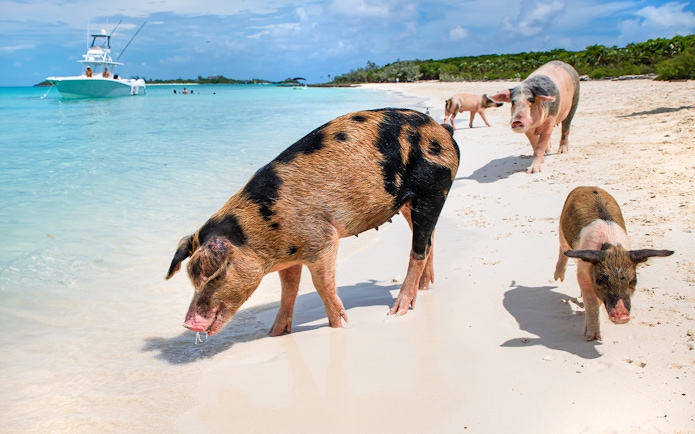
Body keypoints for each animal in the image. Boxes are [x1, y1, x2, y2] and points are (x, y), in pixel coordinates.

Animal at [166, 108, 460, 337]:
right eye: (192, 278)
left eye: (216, 274)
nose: (188, 323)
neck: (263, 233)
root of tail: (442, 130)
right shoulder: (290, 257)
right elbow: (288, 289)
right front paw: (274, 333)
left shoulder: (322, 241)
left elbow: (321, 285)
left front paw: (338, 325)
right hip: (411, 203)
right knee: (429, 239)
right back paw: (424, 287)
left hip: (433, 188)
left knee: (418, 250)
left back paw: (398, 310)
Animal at [553, 186, 674, 341]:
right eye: (600, 280)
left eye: (633, 281)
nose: (622, 316)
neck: (613, 247)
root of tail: (588, 186)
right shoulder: (582, 270)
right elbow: (591, 300)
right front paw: (592, 338)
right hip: (562, 228)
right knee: (563, 248)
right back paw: (558, 279)